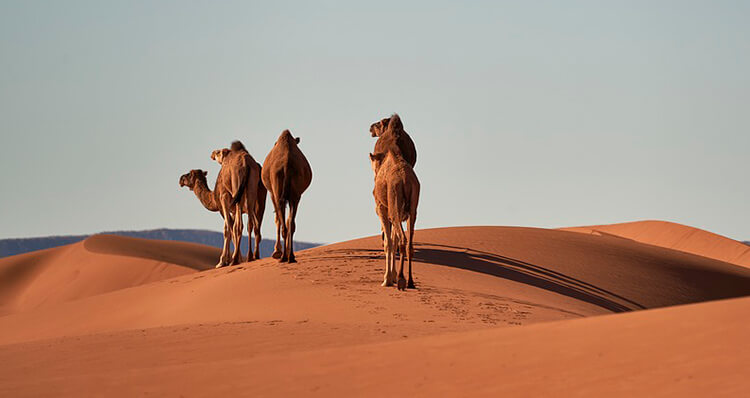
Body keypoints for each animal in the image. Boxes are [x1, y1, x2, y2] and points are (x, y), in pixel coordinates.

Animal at [262, 129, 312, 262]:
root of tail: (286, 165)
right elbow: (288, 220)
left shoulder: (272, 194)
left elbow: (278, 220)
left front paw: (276, 251)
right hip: (295, 195)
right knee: (291, 224)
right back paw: (291, 256)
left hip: (278, 189)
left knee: (284, 223)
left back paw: (284, 256)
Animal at [372, 143, 424, 290]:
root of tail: (405, 180)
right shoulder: (399, 213)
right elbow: (392, 241)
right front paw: (392, 276)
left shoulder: (382, 208)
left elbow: (388, 243)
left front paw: (388, 279)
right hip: (412, 208)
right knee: (409, 243)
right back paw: (410, 282)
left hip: (394, 202)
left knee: (402, 239)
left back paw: (401, 280)